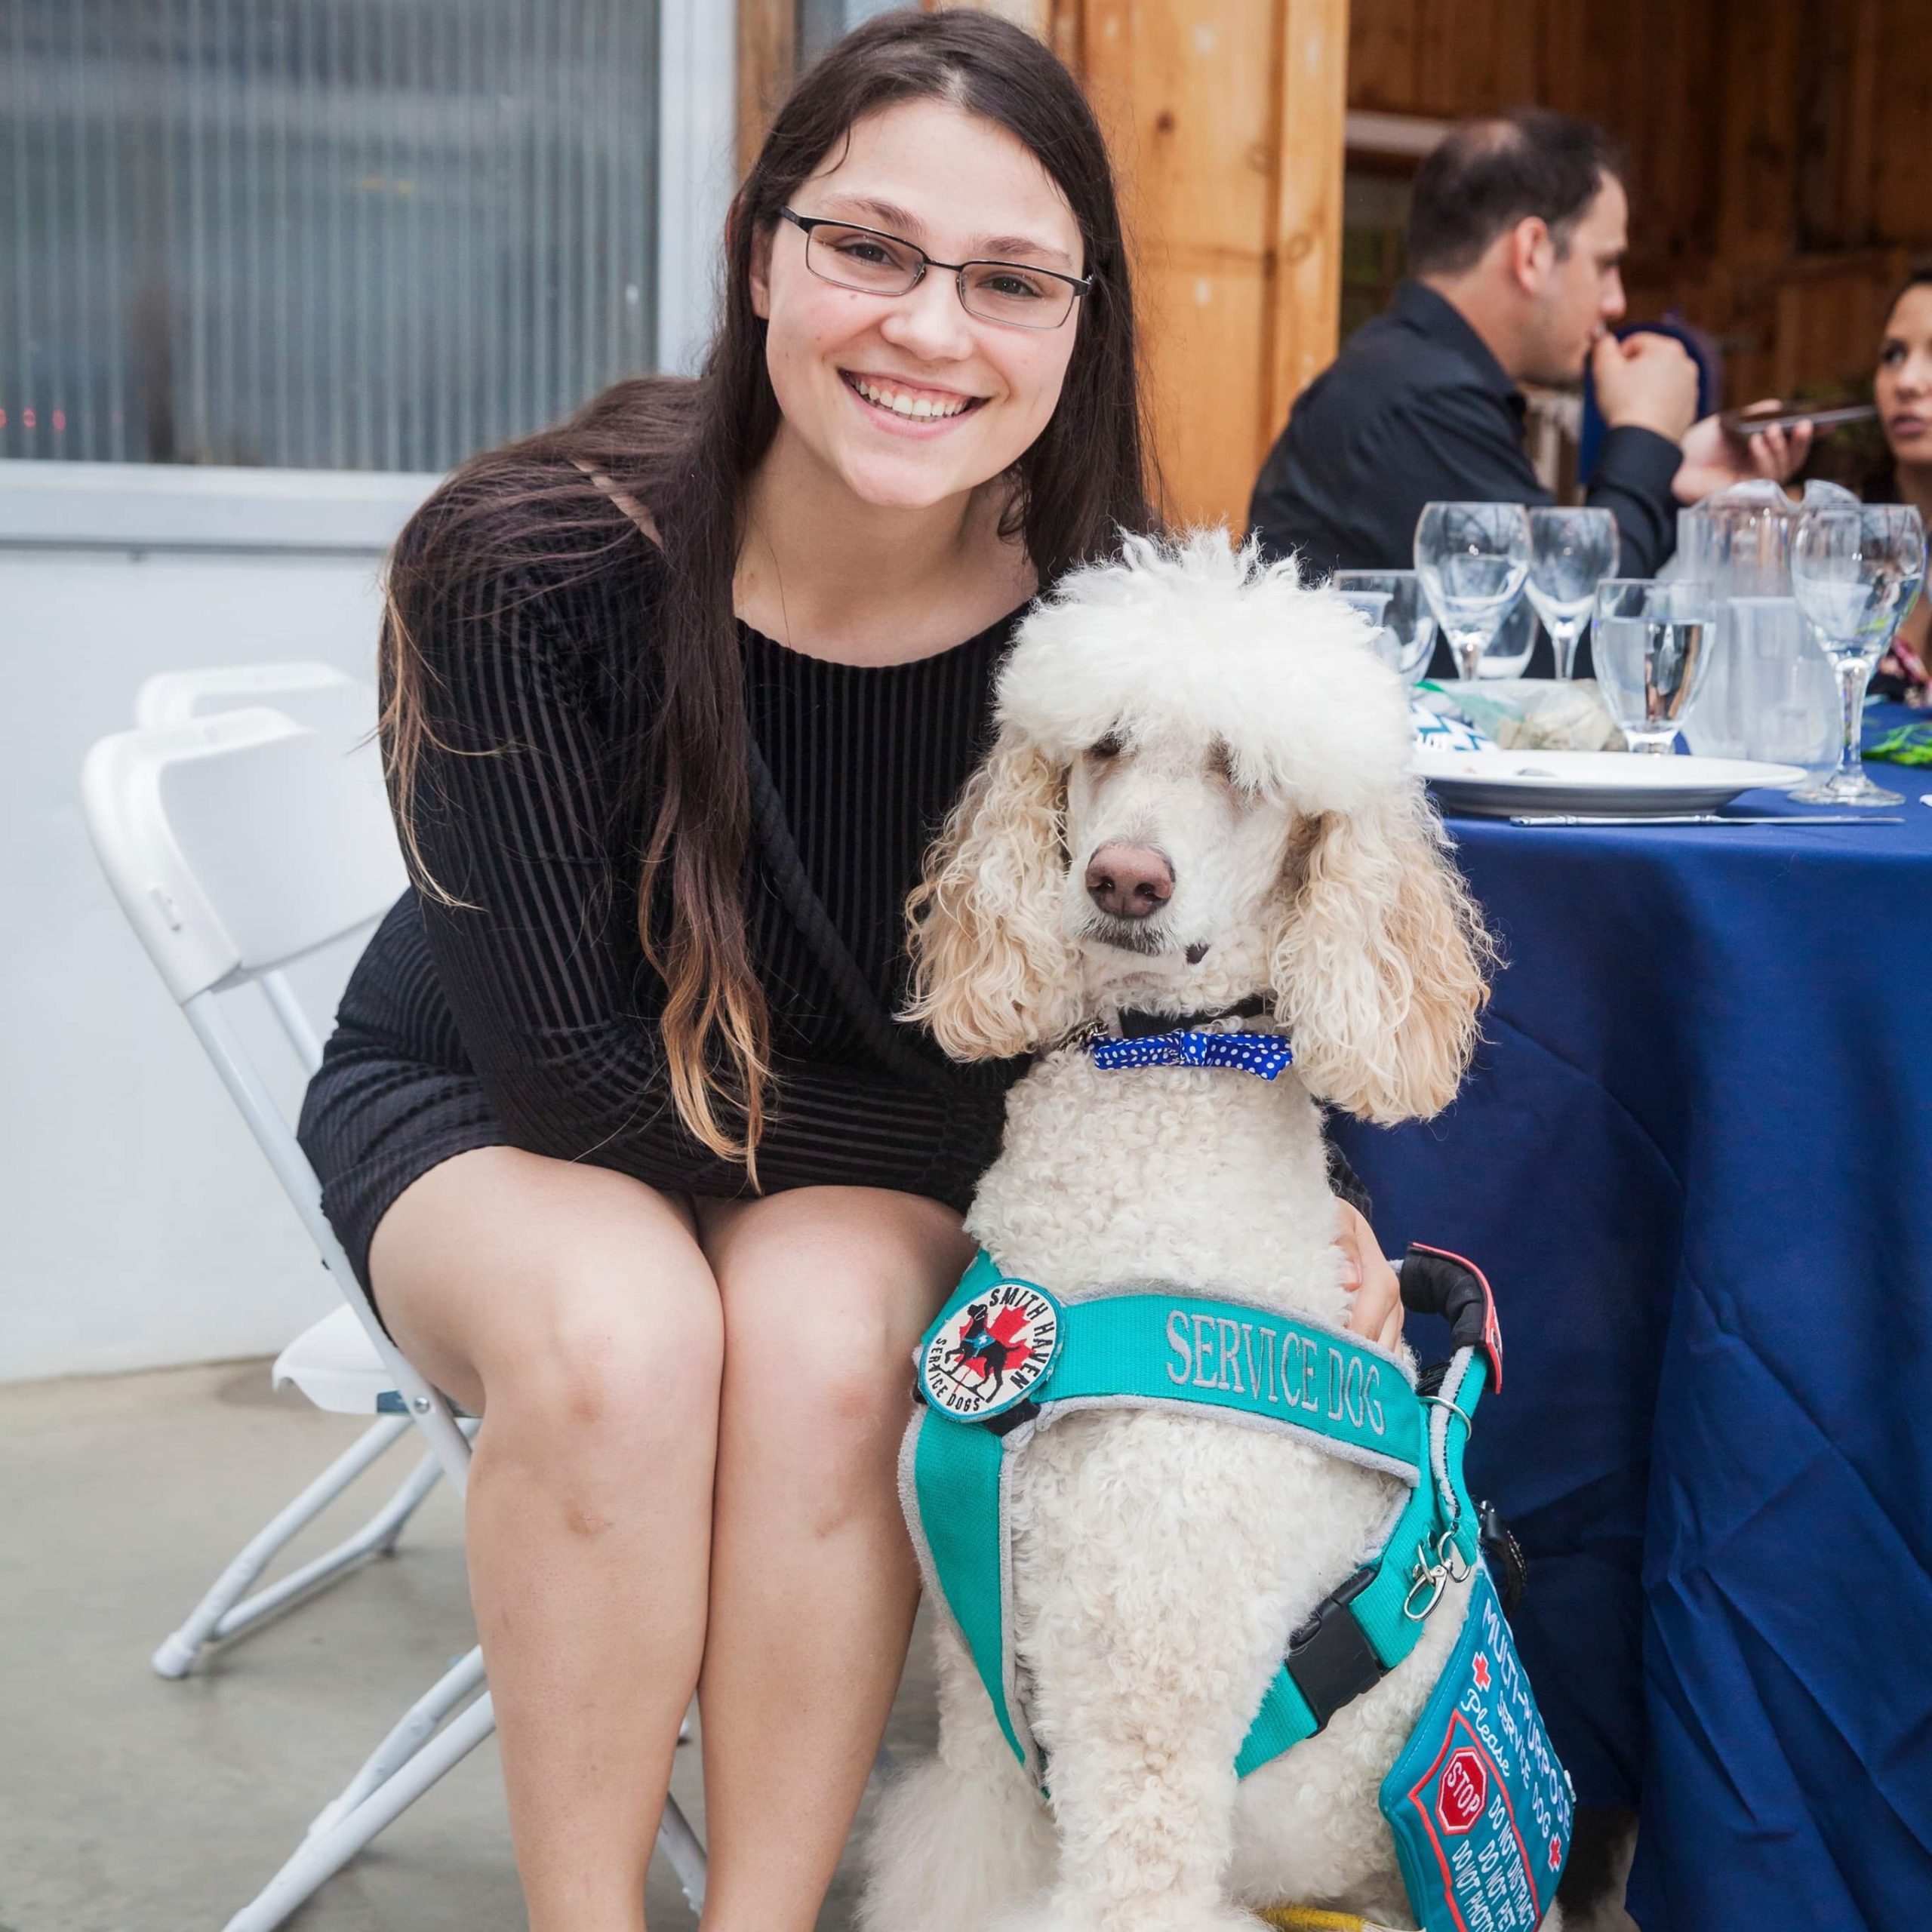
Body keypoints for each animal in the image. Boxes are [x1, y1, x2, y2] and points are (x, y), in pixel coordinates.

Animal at [860, 531, 1530, 1932]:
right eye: (1107, 744)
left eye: (1245, 773)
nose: (1124, 878)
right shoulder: (983, 1699)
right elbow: (963, 1865)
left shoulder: (1148, 1736)